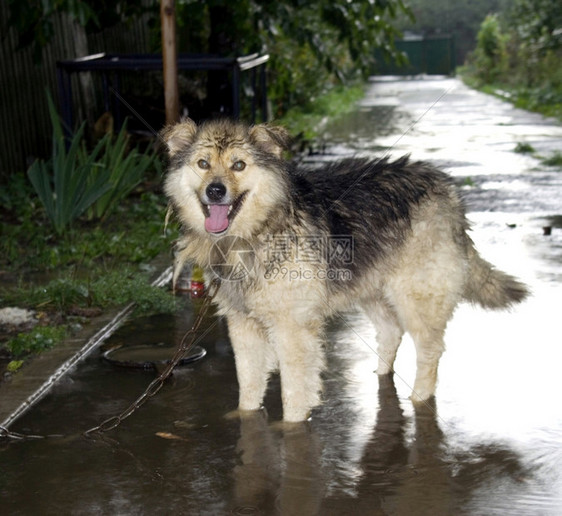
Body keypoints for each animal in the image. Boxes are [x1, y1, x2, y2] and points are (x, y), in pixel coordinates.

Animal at [160, 119, 528, 422]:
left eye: (239, 165)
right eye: (203, 163)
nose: (216, 190)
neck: (258, 230)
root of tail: (448, 190)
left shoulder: (293, 330)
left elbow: (294, 392)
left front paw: (293, 427)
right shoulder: (243, 325)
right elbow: (248, 383)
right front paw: (245, 416)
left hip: (416, 296)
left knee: (429, 350)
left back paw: (419, 397)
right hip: (372, 287)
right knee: (391, 331)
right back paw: (381, 374)